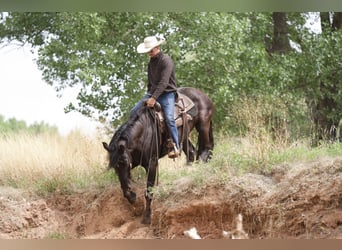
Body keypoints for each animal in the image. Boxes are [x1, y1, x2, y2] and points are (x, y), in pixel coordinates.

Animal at [103, 87, 214, 224]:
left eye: (124, 162)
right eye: (115, 167)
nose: (130, 190)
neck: (143, 133)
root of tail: (202, 94)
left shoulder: (151, 163)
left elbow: (149, 190)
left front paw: (146, 217)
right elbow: (126, 190)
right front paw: (133, 199)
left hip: (203, 126)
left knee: (206, 149)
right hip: (184, 136)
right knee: (191, 153)